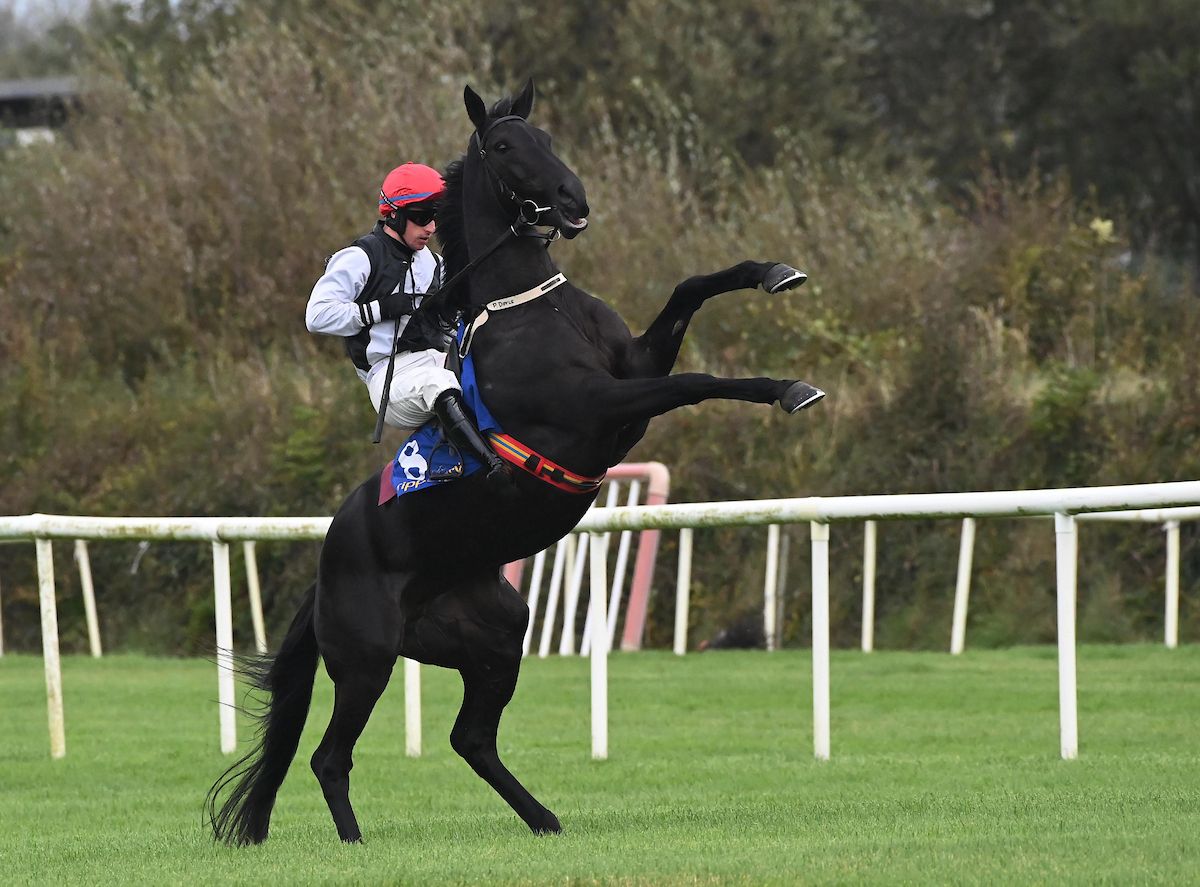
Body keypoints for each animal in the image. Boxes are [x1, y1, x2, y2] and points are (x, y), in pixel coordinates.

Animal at [206, 79, 823, 846]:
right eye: (503, 147)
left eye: (547, 137)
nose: (573, 199)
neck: (528, 308)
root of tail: (327, 561)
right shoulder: (599, 404)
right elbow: (696, 381)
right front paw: (788, 388)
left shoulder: (632, 369)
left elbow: (688, 287)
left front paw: (773, 272)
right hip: (367, 656)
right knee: (329, 755)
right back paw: (356, 842)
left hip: (493, 634)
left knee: (471, 739)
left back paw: (544, 818)